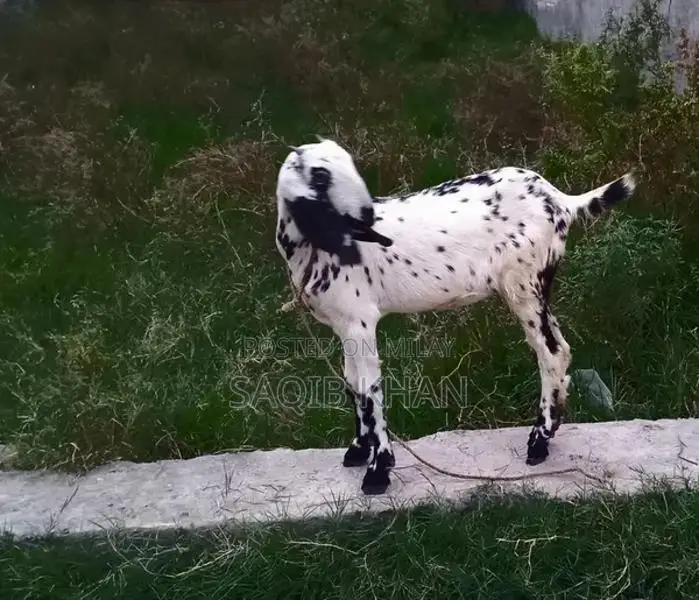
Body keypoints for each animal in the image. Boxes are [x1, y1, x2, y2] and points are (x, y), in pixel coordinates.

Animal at [275, 138, 636, 495]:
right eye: (321, 176)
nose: (368, 215)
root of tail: (560, 200)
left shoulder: (359, 320)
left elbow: (369, 390)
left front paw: (378, 472)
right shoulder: (345, 325)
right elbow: (353, 385)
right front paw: (359, 450)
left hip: (525, 282)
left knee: (552, 353)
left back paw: (538, 442)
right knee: (560, 348)